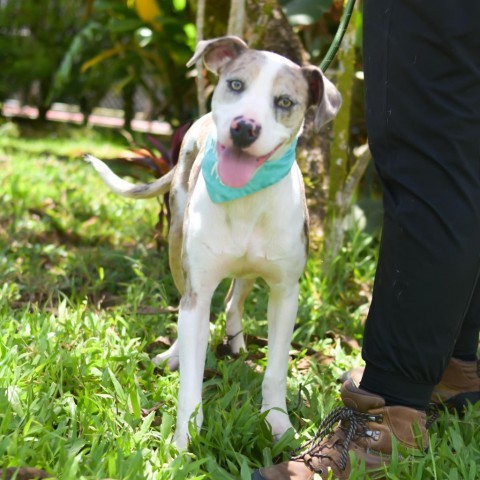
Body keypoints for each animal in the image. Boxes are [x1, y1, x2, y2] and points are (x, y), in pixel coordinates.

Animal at [86, 36, 342, 450]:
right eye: (236, 85)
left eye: (285, 102)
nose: (244, 127)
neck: (246, 196)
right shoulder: (198, 288)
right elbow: (190, 378)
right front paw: (183, 441)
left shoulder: (285, 293)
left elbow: (275, 370)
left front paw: (278, 423)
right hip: (176, 240)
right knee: (188, 303)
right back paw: (175, 353)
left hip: (250, 271)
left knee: (234, 297)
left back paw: (235, 342)